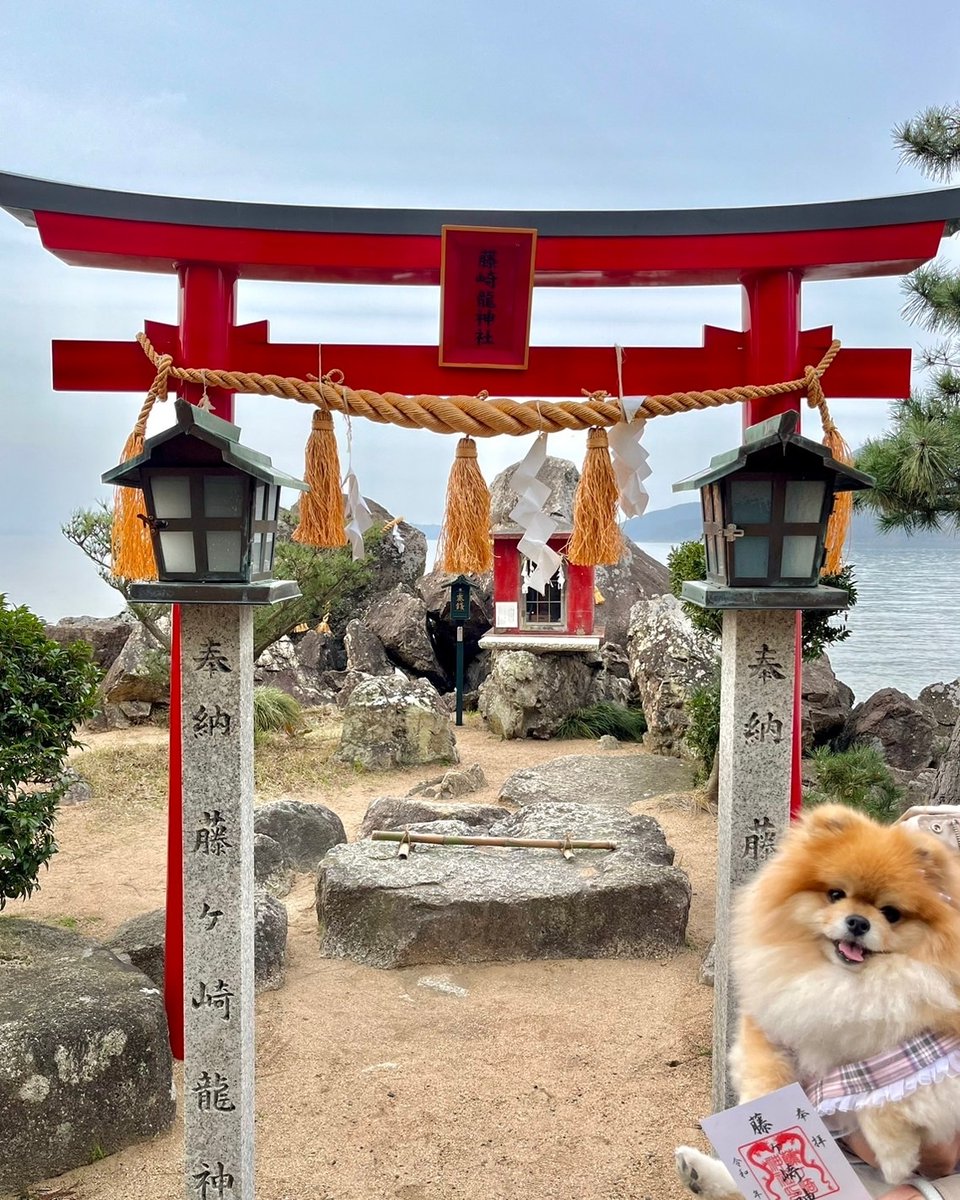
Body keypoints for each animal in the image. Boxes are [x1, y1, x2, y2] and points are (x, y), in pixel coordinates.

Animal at [676, 801, 960, 1195]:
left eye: (890, 914)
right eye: (836, 894)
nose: (858, 922)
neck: (845, 983)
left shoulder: (931, 1049)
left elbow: (887, 1090)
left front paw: (896, 1156)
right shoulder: (771, 1022)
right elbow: (766, 1075)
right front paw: (758, 1116)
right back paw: (697, 1173)